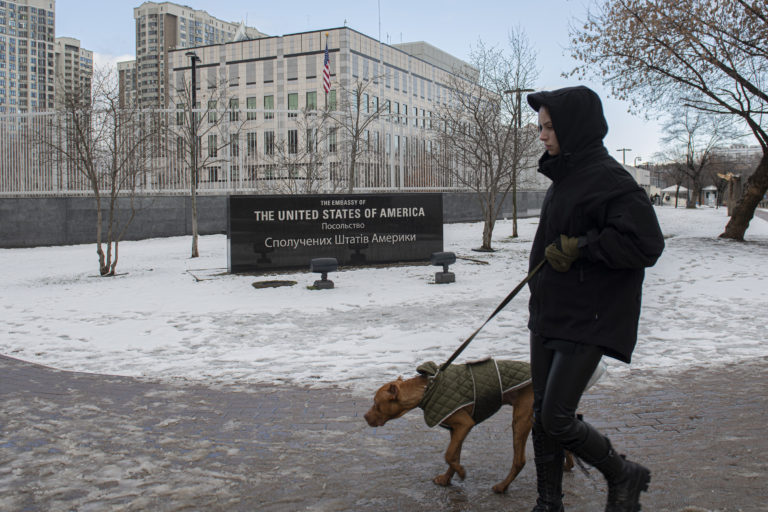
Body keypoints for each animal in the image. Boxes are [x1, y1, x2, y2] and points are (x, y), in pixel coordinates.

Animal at [364, 358, 600, 494]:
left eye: (376, 403)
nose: (365, 417)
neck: (426, 389)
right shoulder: (456, 430)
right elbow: (453, 455)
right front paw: (448, 478)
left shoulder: (463, 424)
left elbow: (449, 455)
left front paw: (460, 473)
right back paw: (568, 464)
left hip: (521, 419)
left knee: (520, 460)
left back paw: (503, 487)